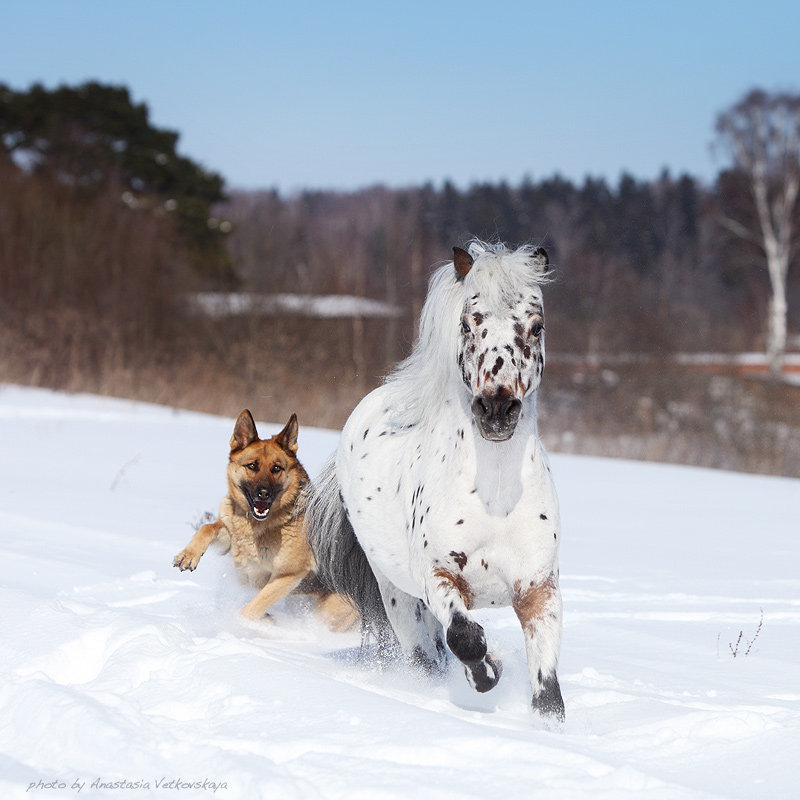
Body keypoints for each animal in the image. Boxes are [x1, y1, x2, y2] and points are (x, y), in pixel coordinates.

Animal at [174, 412, 356, 632]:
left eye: (276, 468)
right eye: (252, 466)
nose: (264, 493)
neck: (257, 526)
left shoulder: (288, 575)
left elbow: (250, 610)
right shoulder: (230, 540)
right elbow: (207, 527)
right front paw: (188, 555)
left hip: (329, 613)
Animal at [304, 241, 564, 720]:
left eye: (536, 327)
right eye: (467, 324)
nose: (496, 409)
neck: (494, 499)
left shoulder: (538, 589)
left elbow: (547, 694)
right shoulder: (438, 576)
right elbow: (465, 638)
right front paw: (489, 673)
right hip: (397, 595)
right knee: (424, 657)